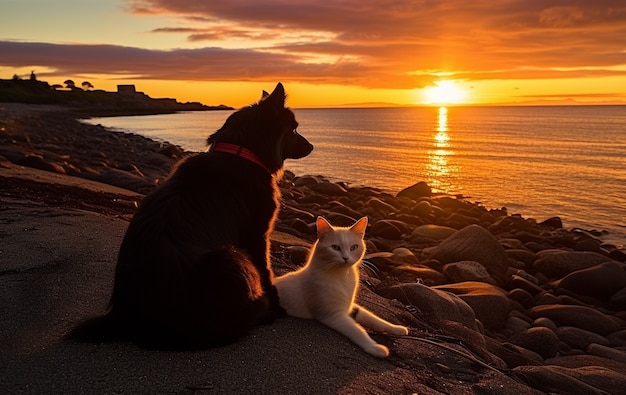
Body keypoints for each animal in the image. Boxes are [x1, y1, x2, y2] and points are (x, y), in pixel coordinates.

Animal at [69, 83, 312, 350]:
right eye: (294, 129)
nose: (312, 147)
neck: (241, 153)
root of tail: (126, 317)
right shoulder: (257, 236)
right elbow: (266, 272)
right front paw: (277, 307)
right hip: (230, 257)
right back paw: (263, 312)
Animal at [276, 217, 408, 358]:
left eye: (354, 247)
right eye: (335, 247)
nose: (346, 258)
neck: (343, 276)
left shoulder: (352, 307)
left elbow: (374, 319)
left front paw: (397, 328)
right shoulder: (334, 315)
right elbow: (357, 330)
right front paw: (375, 347)